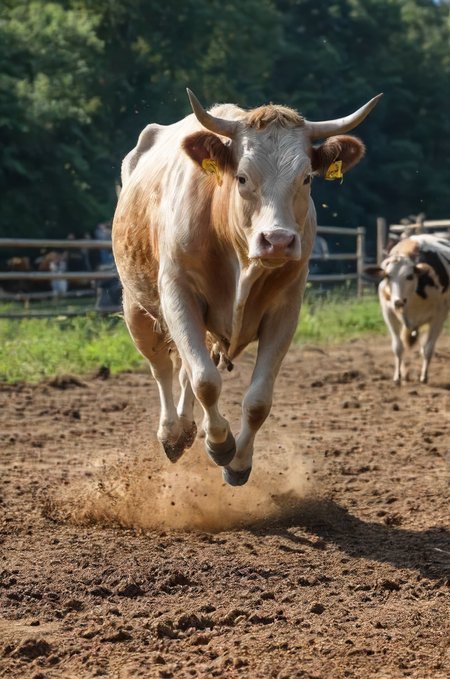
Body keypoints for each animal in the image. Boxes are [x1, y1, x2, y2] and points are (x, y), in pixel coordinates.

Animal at [112, 89, 381, 486]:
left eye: (306, 178)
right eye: (241, 178)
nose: (278, 241)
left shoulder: (285, 310)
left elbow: (256, 401)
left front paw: (238, 461)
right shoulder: (178, 294)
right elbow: (205, 381)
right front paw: (219, 444)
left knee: (184, 368)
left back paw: (188, 429)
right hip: (137, 306)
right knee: (161, 366)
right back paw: (172, 433)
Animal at [367, 235, 450, 384]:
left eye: (409, 276)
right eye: (387, 276)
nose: (398, 301)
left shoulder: (440, 315)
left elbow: (427, 348)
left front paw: (424, 376)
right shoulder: (388, 312)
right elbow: (398, 347)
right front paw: (398, 376)